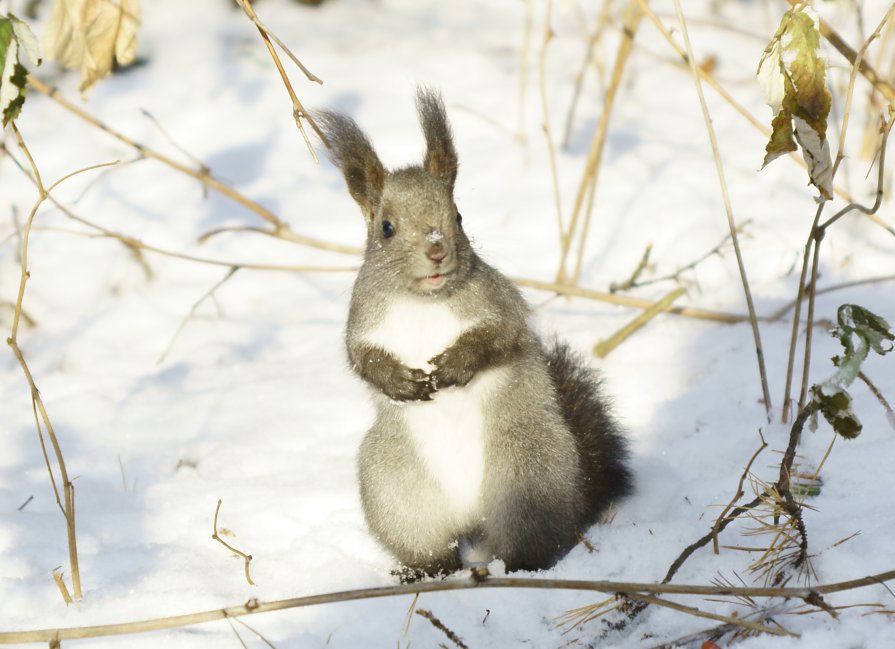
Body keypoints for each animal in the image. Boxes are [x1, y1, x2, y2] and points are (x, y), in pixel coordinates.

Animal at [318, 88, 632, 580]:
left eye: (458, 216)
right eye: (386, 228)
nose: (436, 249)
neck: (423, 302)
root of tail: (471, 519)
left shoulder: (499, 304)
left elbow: (499, 337)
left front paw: (456, 363)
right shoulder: (362, 321)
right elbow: (361, 358)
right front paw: (397, 380)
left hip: (527, 473)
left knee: (531, 541)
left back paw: (520, 566)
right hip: (396, 490)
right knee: (433, 549)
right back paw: (426, 570)